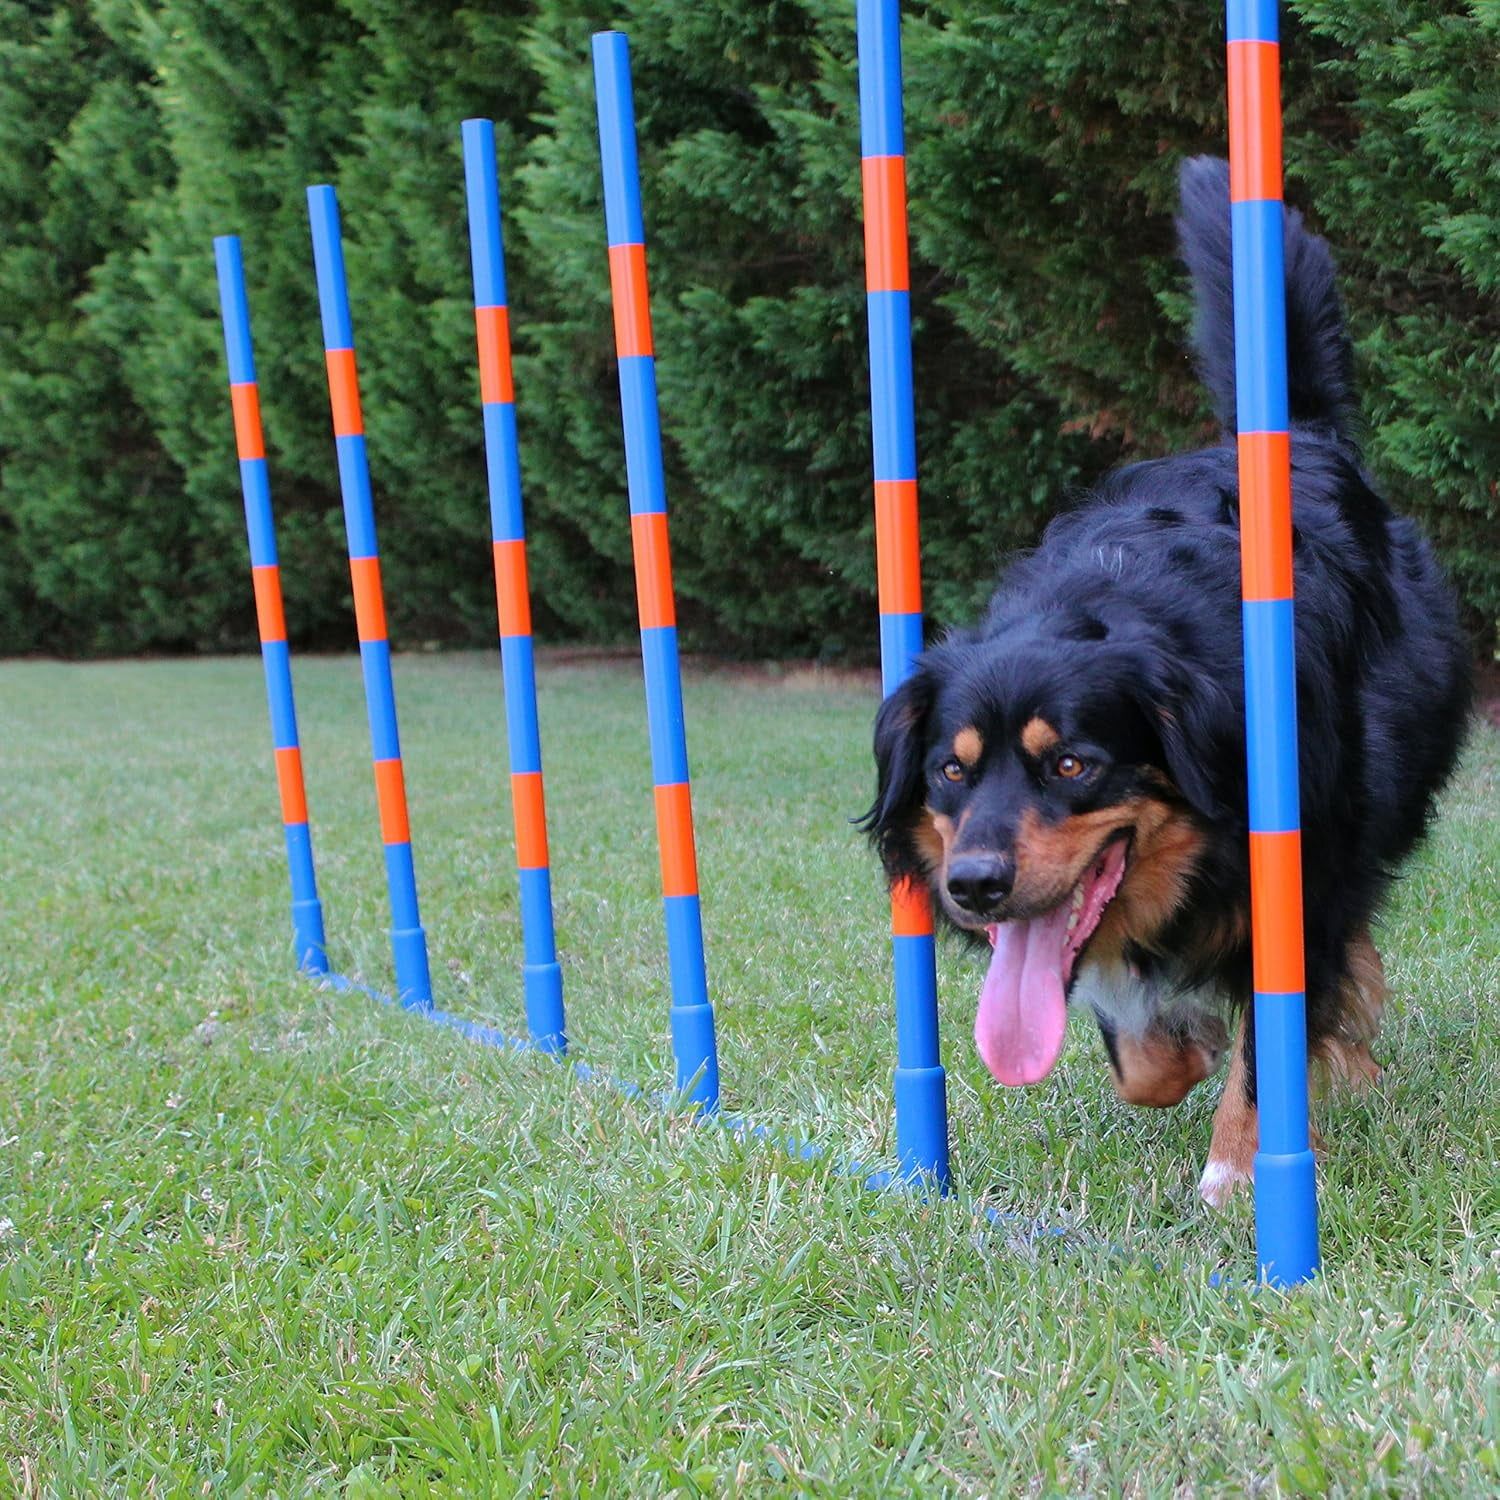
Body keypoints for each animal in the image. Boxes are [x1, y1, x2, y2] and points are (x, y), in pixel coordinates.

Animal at [864, 155, 1470, 1206]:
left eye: (1072, 765)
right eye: (951, 770)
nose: (975, 886)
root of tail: (1306, 440)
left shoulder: (1297, 862)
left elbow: (1271, 1035)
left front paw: (1236, 1174)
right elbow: (1146, 1057)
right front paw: (1179, 1048)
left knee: (1350, 928)